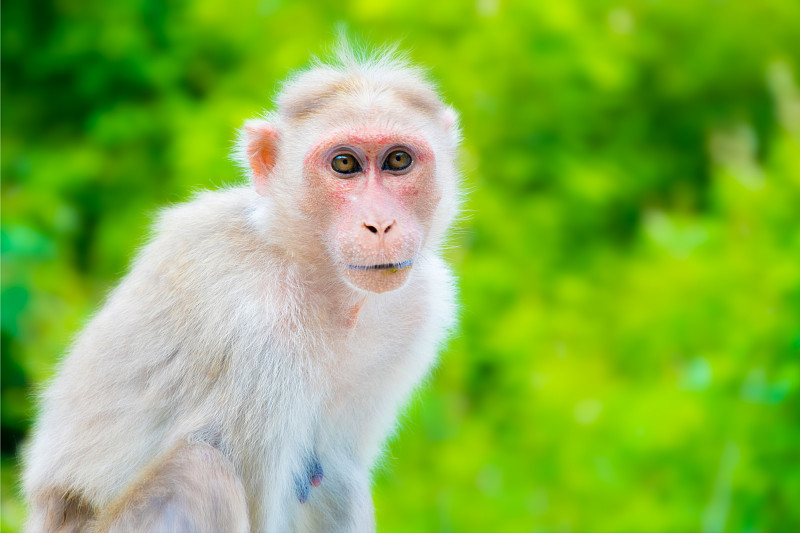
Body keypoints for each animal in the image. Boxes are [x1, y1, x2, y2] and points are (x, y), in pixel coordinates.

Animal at [20, 44, 462, 532]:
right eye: (344, 164)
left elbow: (335, 470)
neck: (304, 264)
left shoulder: (422, 305)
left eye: (398, 161)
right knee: (201, 471)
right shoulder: (254, 329)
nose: (380, 224)